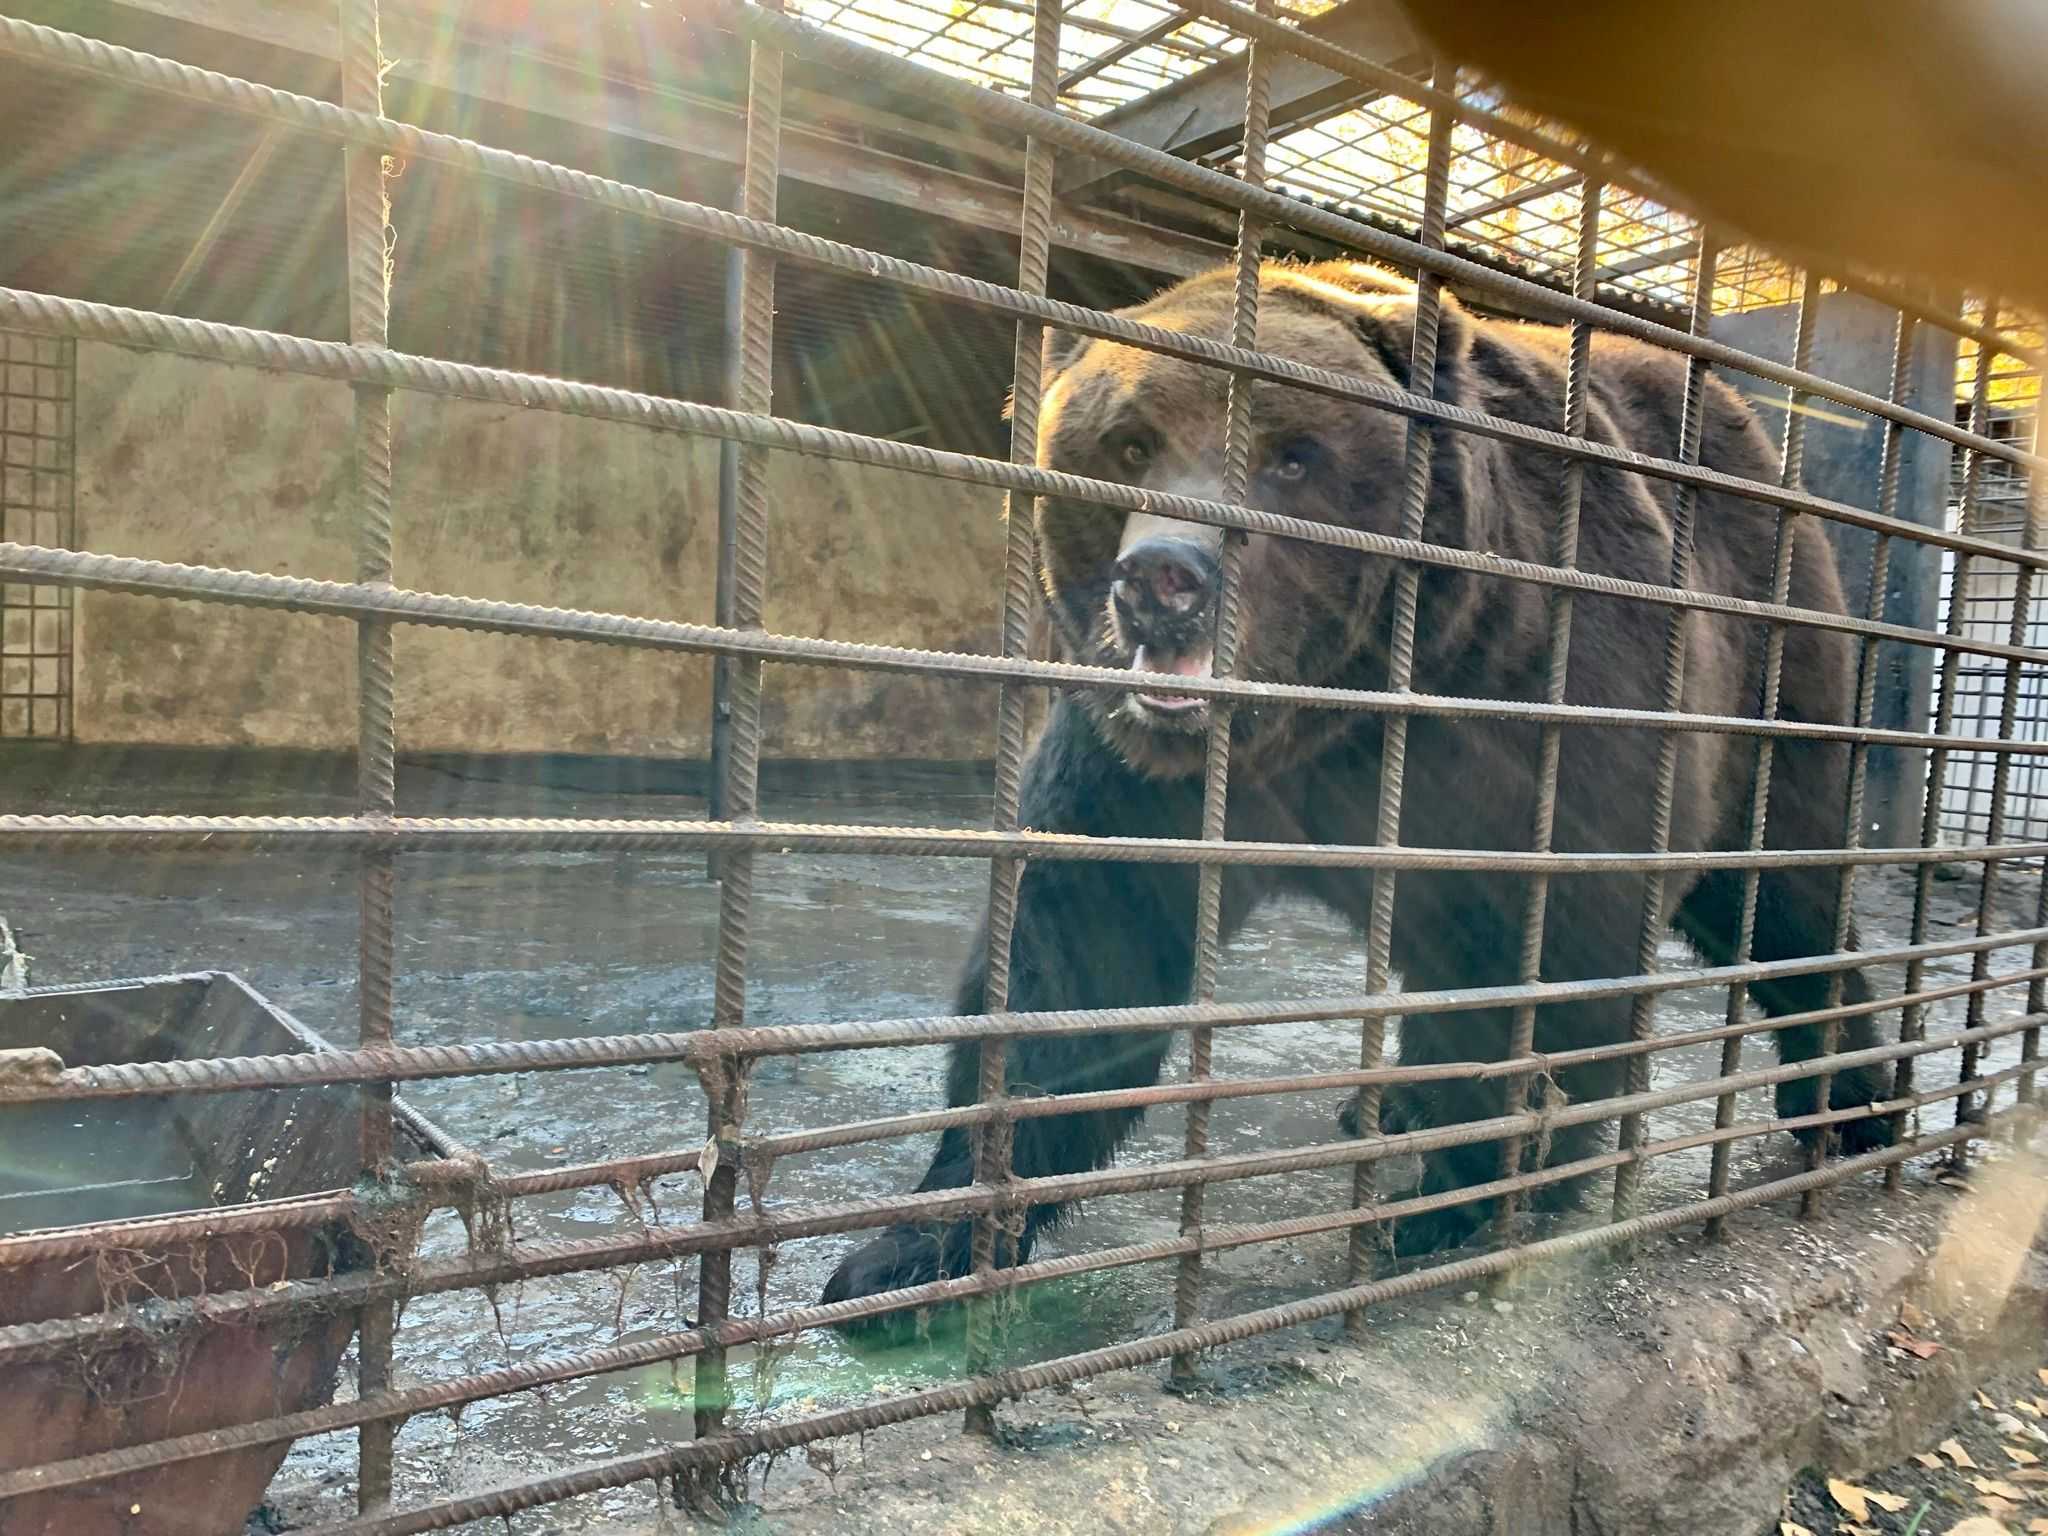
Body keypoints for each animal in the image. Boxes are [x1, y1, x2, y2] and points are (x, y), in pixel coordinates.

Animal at [819, 258, 1891, 1322]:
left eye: (1294, 457)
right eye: (1129, 442)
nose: (1164, 576)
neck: (1322, 713)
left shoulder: (1532, 699)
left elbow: (1547, 943)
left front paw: (1460, 1195)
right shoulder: (1142, 766)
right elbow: (1083, 949)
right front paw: (910, 1249)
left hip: (1775, 662)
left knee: (1786, 891)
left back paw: (1851, 1099)